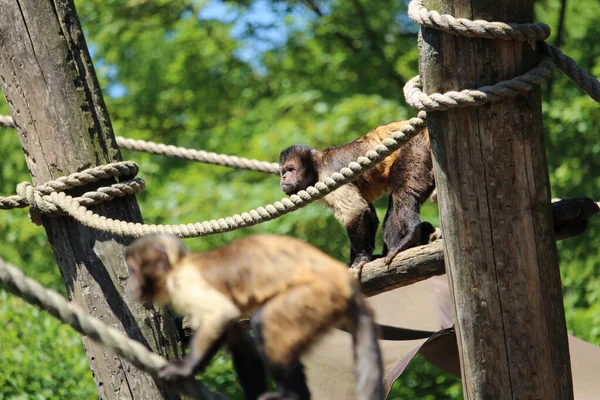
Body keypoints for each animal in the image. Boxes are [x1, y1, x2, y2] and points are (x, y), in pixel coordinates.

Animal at [126, 234, 434, 400]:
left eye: (134, 271)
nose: (128, 284)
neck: (178, 268)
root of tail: (344, 284)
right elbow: (241, 345)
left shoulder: (184, 283)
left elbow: (220, 313)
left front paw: (185, 369)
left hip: (315, 296)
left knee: (267, 322)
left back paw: (291, 394)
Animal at [278, 119, 434, 276]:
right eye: (283, 172)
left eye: (291, 170)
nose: (283, 178)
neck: (318, 168)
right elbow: (369, 214)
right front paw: (361, 258)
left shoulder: (329, 174)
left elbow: (355, 210)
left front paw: (360, 258)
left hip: (415, 145)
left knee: (402, 192)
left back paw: (411, 234)